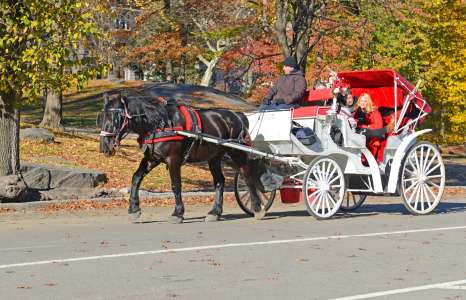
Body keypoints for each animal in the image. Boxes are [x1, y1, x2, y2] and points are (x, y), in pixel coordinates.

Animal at [98, 93, 266, 223]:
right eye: (101, 117)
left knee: (247, 176)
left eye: (116, 117)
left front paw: (178, 213)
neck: (159, 124)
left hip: (237, 152)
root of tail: (238, 115)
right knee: (220, 181)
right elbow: (136, 178)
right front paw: (134, 209)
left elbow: (176, 185)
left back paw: (257, 208)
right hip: (214, 157)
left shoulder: (173, 159)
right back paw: (215, 212)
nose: (105, 146)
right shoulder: (152, 158)